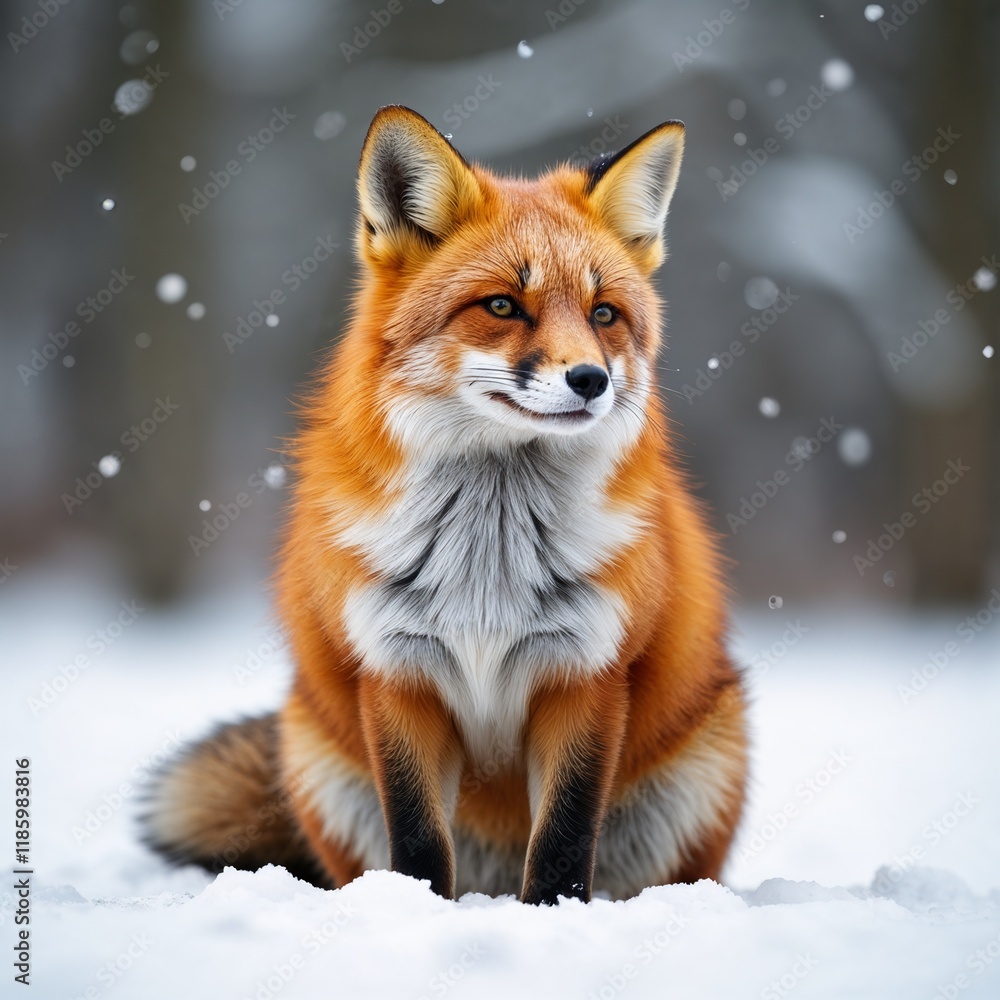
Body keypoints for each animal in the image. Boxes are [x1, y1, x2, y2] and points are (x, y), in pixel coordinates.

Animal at [143, 105, 748, 904]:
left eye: (604, 314)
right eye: (502, 305)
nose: (590, 380)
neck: (486, 559)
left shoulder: (586, 676)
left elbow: (562, 839)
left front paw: (554, 914)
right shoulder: (397, 674)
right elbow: (420, 837)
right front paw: (416, 911)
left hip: (703, 767)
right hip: (317, 759)